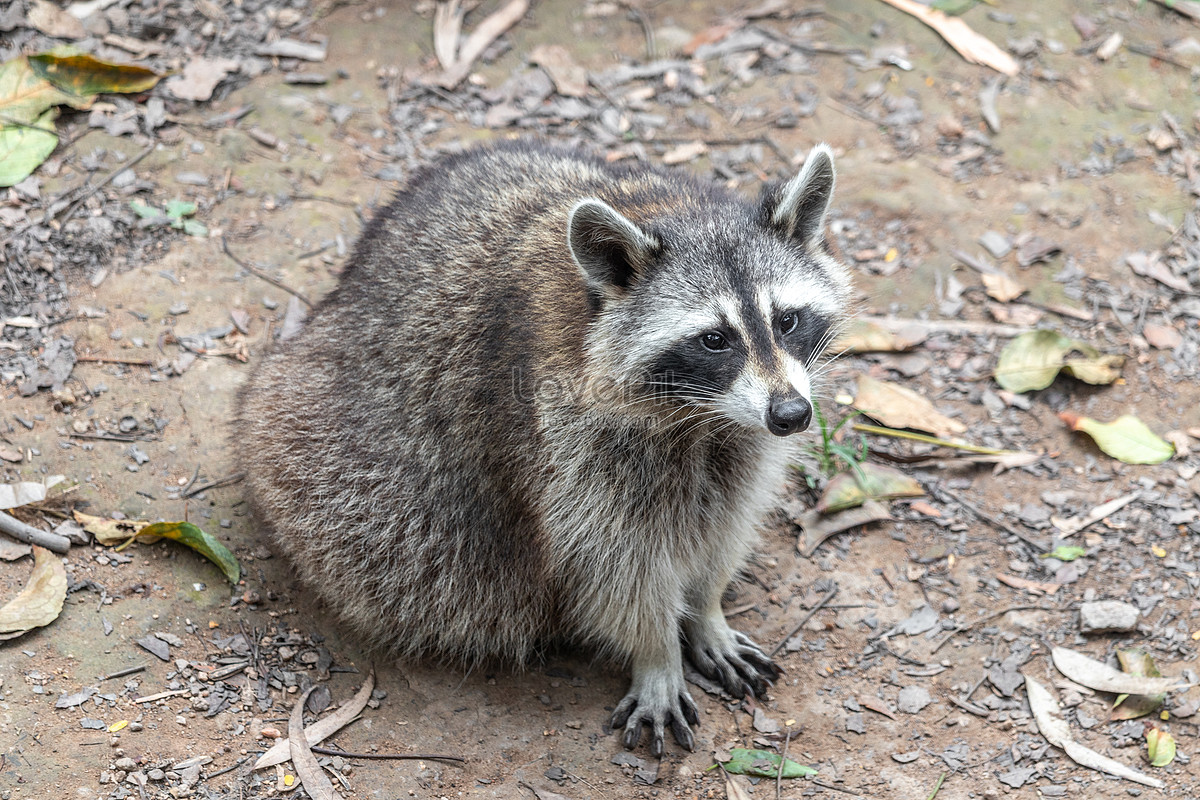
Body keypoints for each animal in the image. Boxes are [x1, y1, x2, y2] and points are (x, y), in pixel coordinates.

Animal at [234, 139, 854, 758]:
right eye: (713, 340)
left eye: (788, 320)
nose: (792, 415)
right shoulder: (564, 443)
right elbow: (614, 565)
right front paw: (657, 652)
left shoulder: (740, 441)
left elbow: (726, 522)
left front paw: (707, 610)